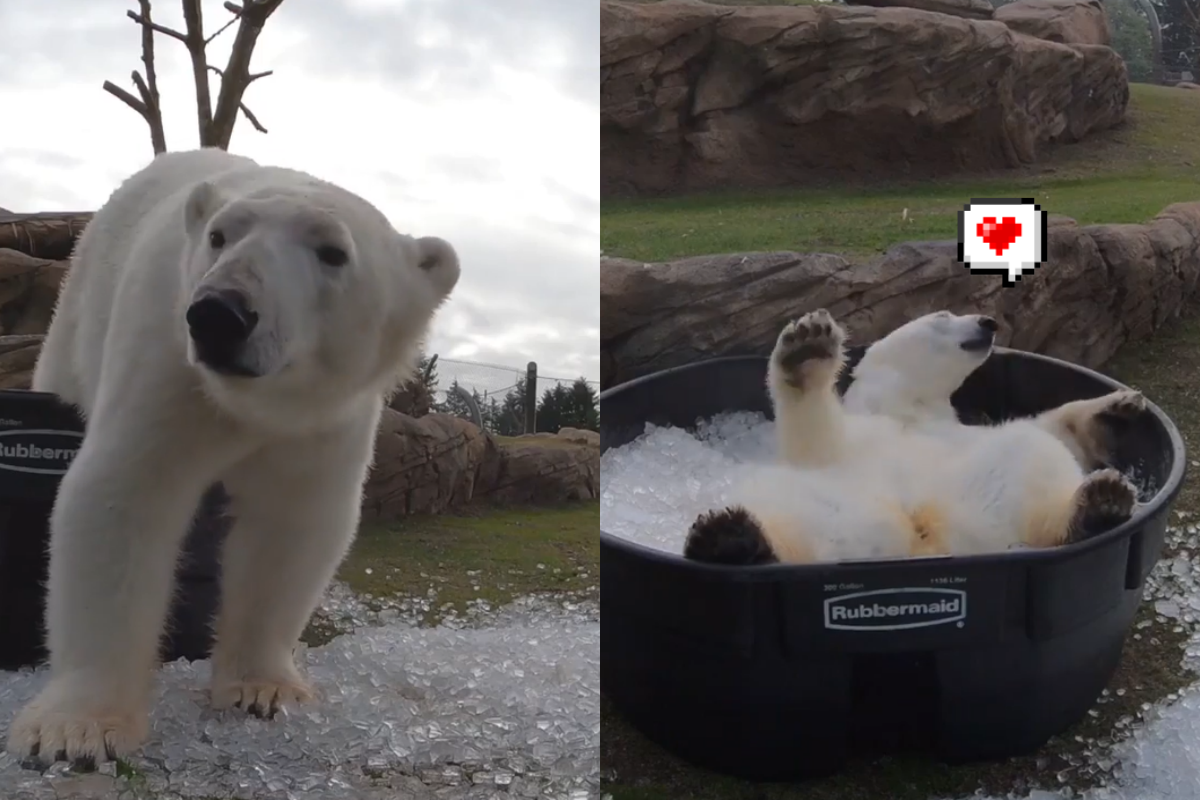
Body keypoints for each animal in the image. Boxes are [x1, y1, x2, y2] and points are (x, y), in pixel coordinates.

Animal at [5, 147, 460, 765]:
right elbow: (123, 496)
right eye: (220, 236)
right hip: (77, 318)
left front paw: (262, 690)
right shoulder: (166, 357)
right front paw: (78, 728)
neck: (251, 404)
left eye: (333, 251)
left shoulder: (326, 418)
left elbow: (290, 524)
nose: (221, 313)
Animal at [683, 309, 1145, 566]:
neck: (908, 407)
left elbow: (1053, 431)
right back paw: (729, 541)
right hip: (822, 516)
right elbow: (815, 442)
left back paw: (1099, 505)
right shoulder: (853, 438)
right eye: (942, 316)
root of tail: (924, 548)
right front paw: (806, 349)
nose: (988, 322)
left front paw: (1121, 404)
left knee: (1033, 470)